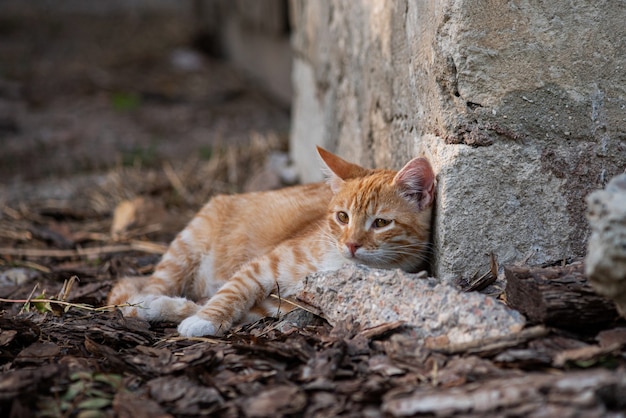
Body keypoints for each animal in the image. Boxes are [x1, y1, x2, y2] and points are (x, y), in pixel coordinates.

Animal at [107, 147, 434, 336]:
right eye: (343, 217)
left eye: (380, 223)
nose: (351, 244)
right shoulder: (263, 266)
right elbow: (231, 292)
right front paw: (200, 317)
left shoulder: (281, 305)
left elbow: (221, 305)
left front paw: (190, 314)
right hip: (188, 244)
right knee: (146, 285)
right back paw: (139, 304)